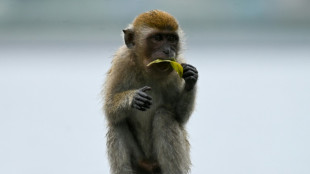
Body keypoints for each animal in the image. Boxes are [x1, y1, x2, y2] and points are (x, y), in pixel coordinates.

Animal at [102, 9, 199, 174]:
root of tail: (149, 164)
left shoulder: (178, 63)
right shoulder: (122, 62)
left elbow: (180, 117)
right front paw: (134, 98)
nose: (168, 50)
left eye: (172, 39)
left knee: (164, 116)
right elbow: (109, 110)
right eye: (158, 38)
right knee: (117, 123)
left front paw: (190, 79)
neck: (147, 69)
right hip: (139, 162)